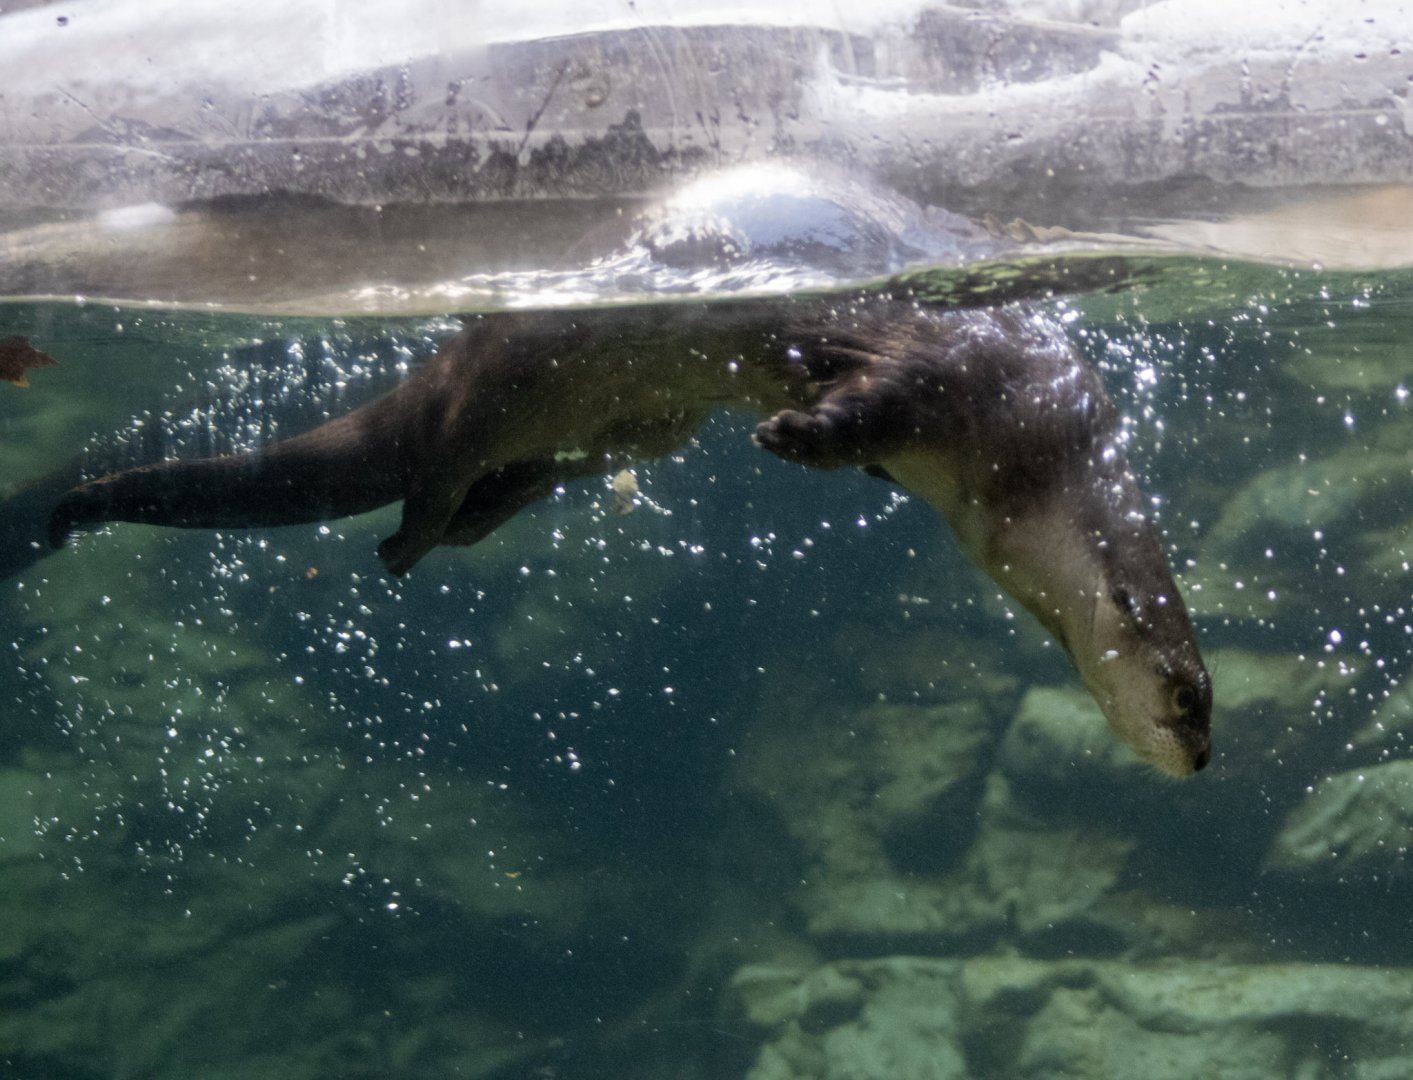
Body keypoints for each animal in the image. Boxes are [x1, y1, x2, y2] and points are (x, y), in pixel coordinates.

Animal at [44, 292, 1212, 775]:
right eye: (1188, 696)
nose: (1202, 759)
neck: (1032, 446)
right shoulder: (942, 377)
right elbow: (856, 406)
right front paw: (790, 433)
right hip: (497, 390)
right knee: (430, 470)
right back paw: (407, 541)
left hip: (631, 426)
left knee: (515, 478)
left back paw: (464, 525)